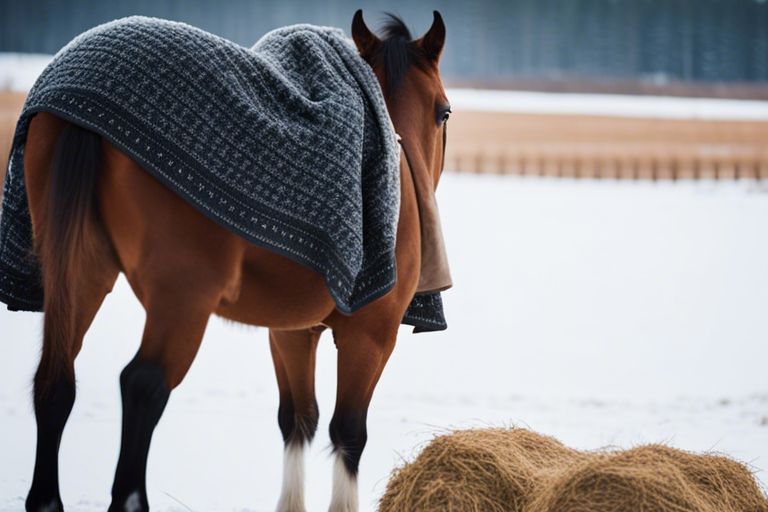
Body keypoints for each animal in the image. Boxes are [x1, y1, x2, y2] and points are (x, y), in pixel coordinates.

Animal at [21, 8, 450, 512]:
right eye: (444, 111)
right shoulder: (371, 334)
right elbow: (348, 432)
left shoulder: (292, 332)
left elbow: (297, 420)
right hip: (183, 300)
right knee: (143, 386)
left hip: (79, 274)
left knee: (56, 381)